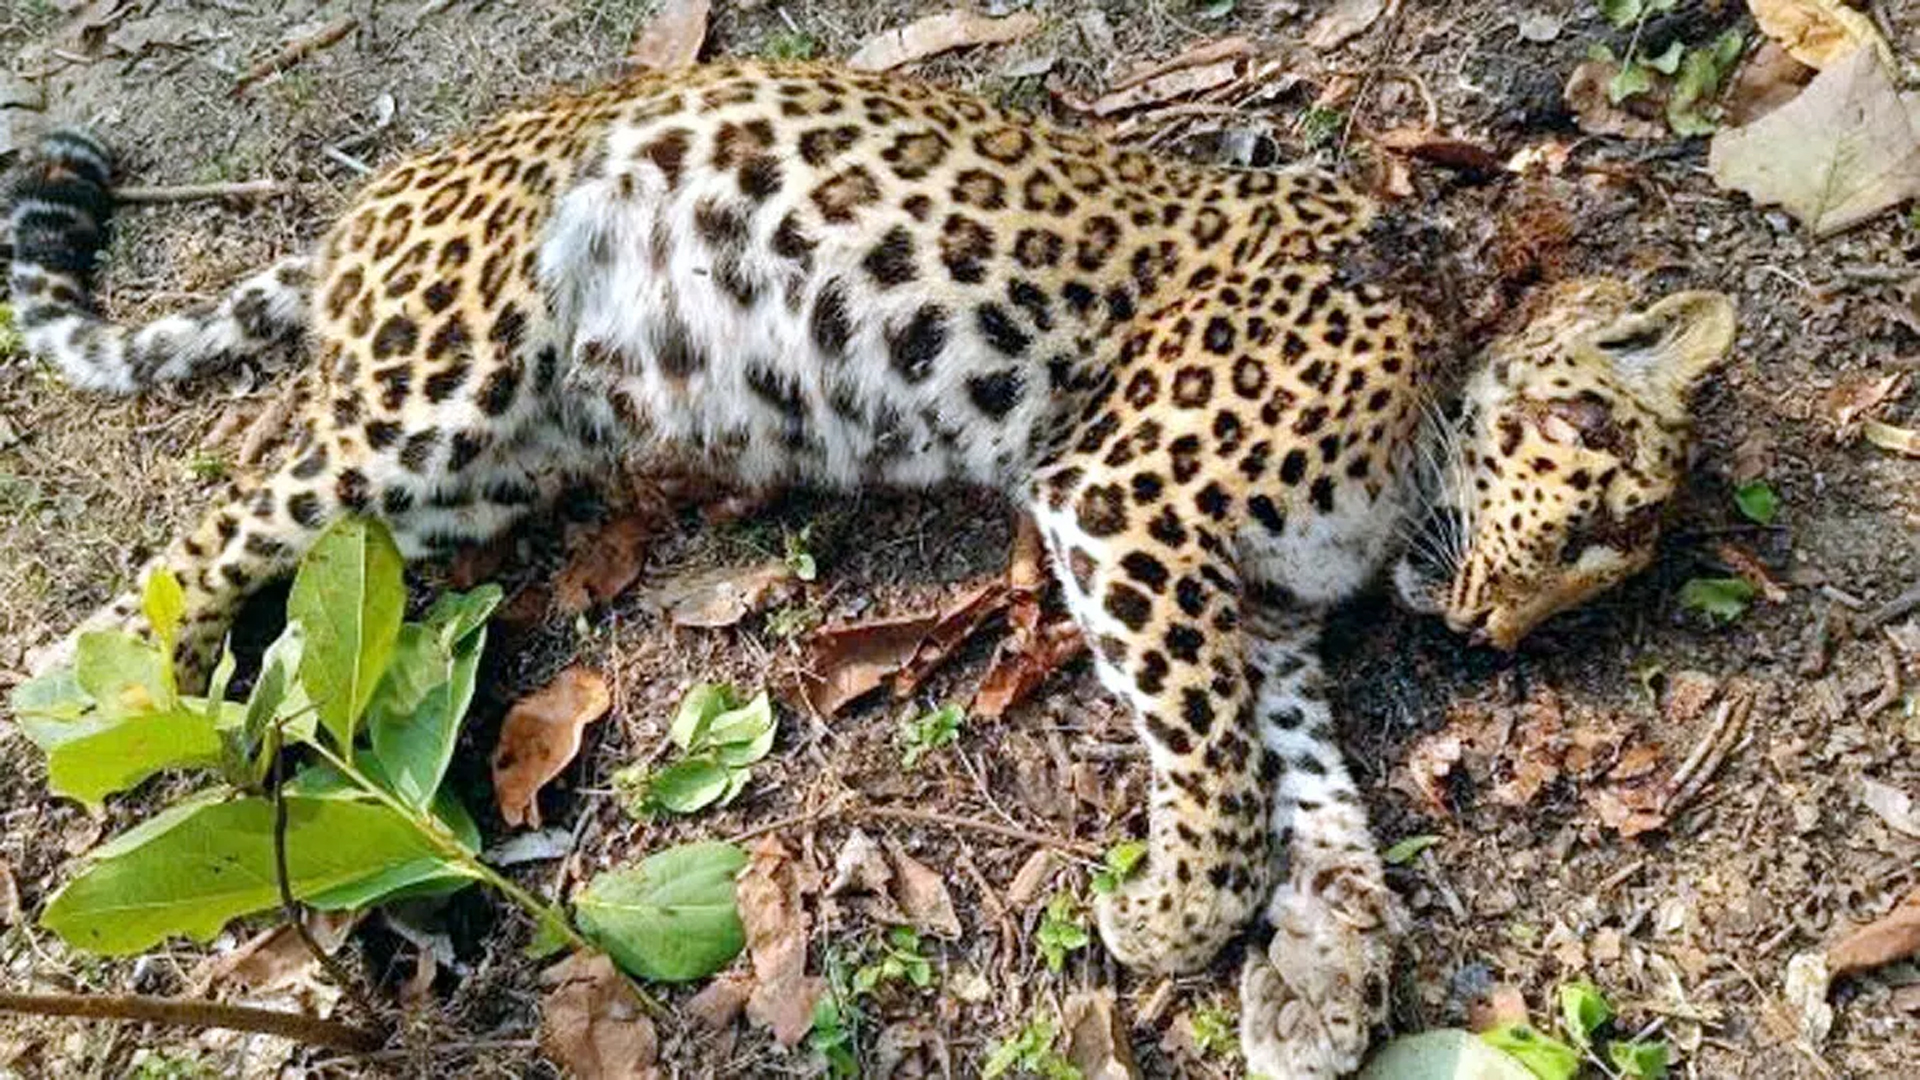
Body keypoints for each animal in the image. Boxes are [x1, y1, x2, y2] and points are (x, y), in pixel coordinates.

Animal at [3, 61, 1743, 1076]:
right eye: (1594, 504)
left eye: (1597, 579)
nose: (1496, 628)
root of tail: (373, 200)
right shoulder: (1128, 502)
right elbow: (1219, 771)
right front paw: (1173, 919)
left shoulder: (1264, 620)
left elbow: (1313, 797)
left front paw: (1315, 979)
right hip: (433, 390)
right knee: (196, 542)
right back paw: (143, 708)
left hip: (460, 486)